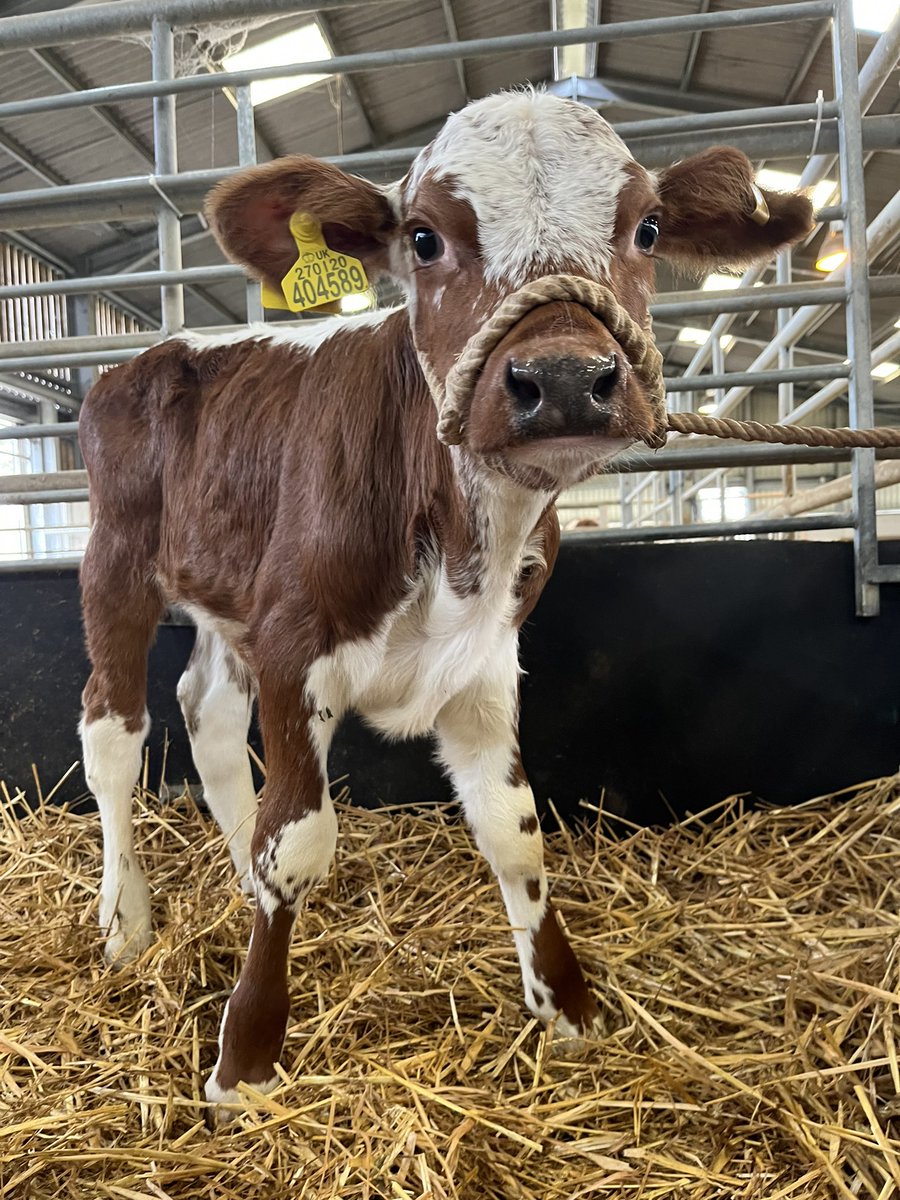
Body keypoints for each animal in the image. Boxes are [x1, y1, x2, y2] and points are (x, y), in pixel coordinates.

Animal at [77, 89, 812, 1120]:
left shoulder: (486, 657)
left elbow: (514, 830)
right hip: (116, 559)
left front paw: (567, 1008)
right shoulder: (295, 640)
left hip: (230, 592)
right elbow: (296, 839)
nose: (564, 380)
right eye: (423, 238)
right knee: (113, 732)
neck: (464, 538)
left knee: (209, 720)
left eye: (647, 227)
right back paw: (126, 922)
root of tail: (145, 356)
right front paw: (247, 1056)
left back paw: (225, 879)